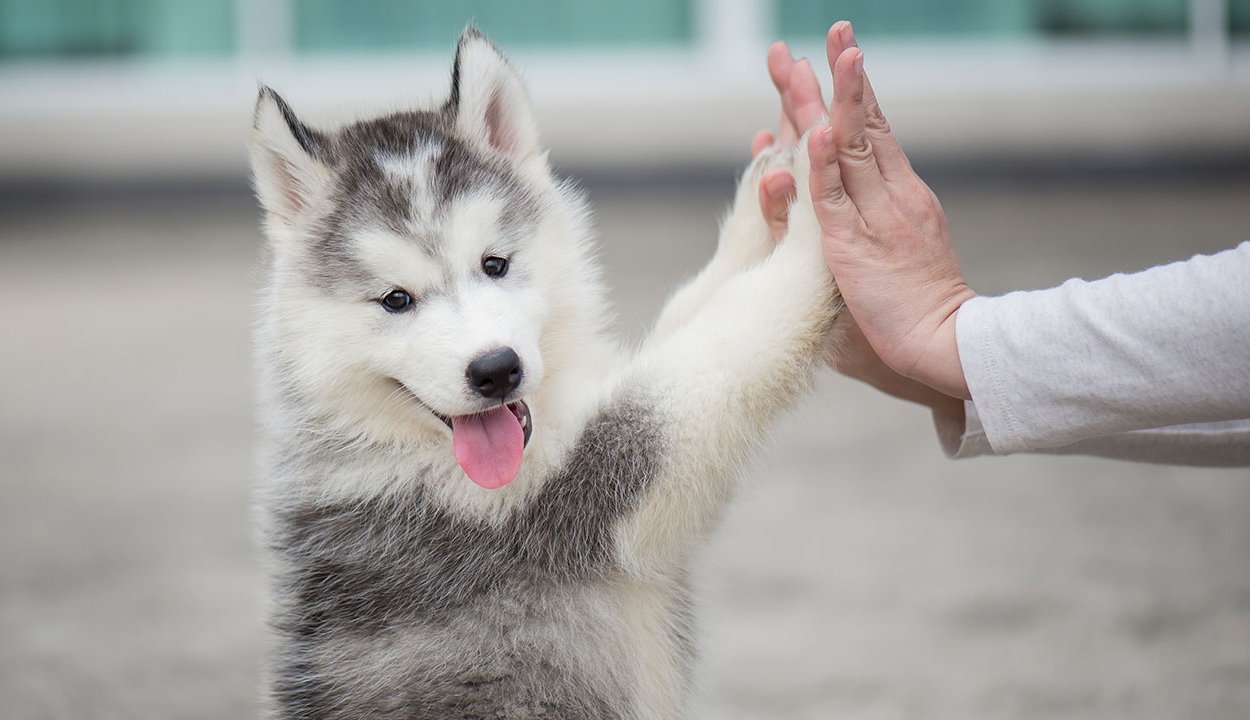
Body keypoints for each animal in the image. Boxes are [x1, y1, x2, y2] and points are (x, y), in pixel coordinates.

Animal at [250, 28, 845, 720]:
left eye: (495, 264)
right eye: (396, 300)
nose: (496, 370)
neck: (400, 448)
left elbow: (698, 309)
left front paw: (764, 203)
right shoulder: (583, 488)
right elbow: (732, 334)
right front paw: (824, 209)